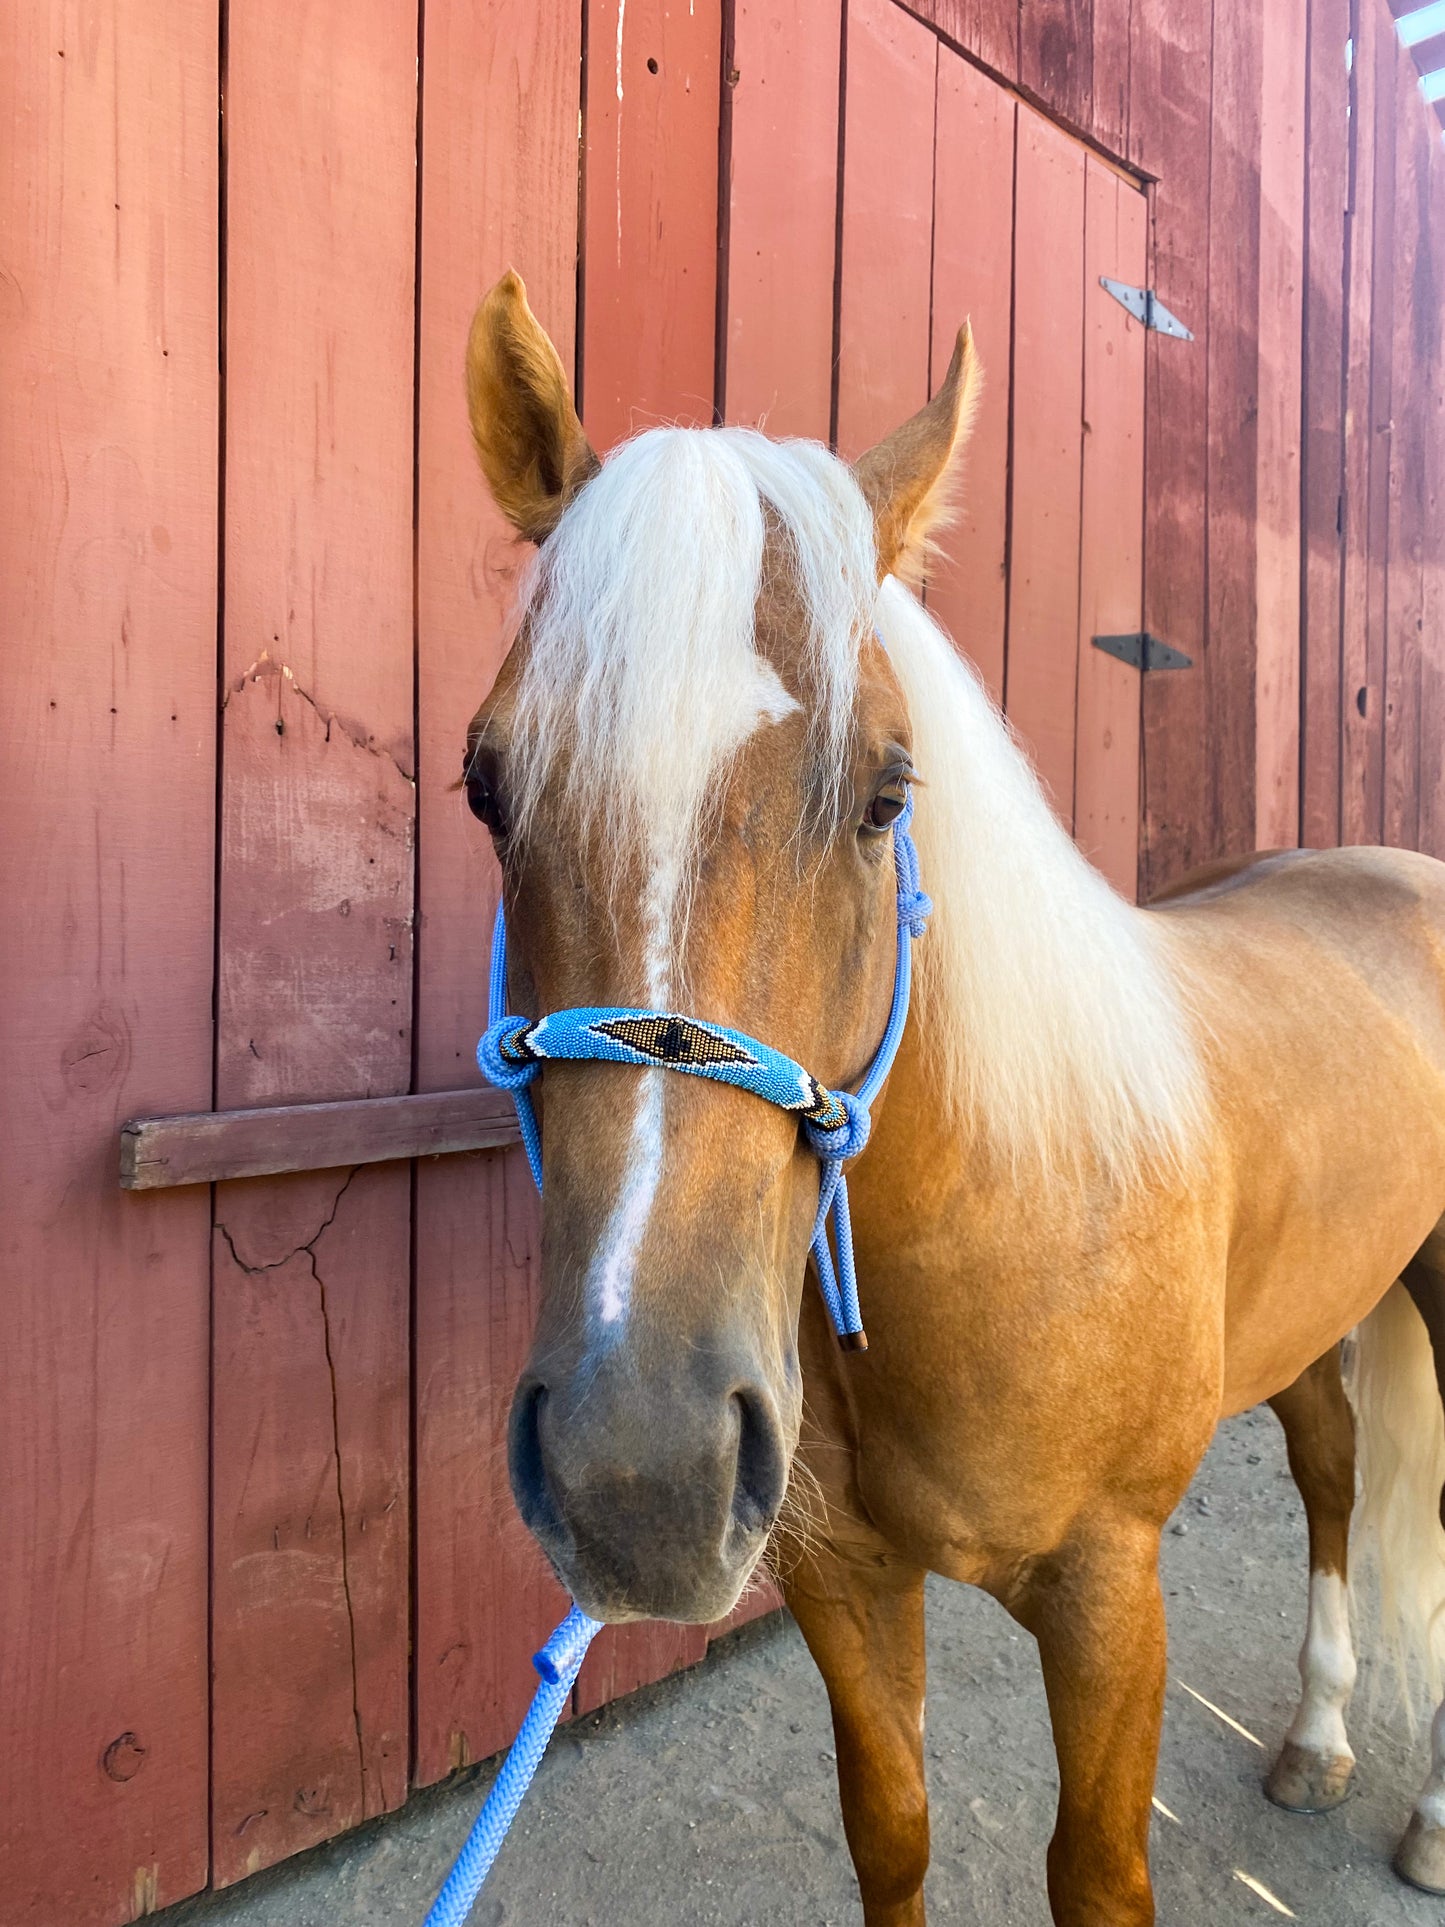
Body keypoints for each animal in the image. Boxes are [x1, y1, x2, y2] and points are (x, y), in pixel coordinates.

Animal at [458, 275, 1445, 1927]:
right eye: (485, 783)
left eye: (883, 794)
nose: (635, 1469)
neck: (1007, 1214)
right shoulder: (842, 1577)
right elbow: (894, 1828)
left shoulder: (1110, 1588)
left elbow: (1092, 1871)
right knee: (1327, 1464)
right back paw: (1316, 1734)